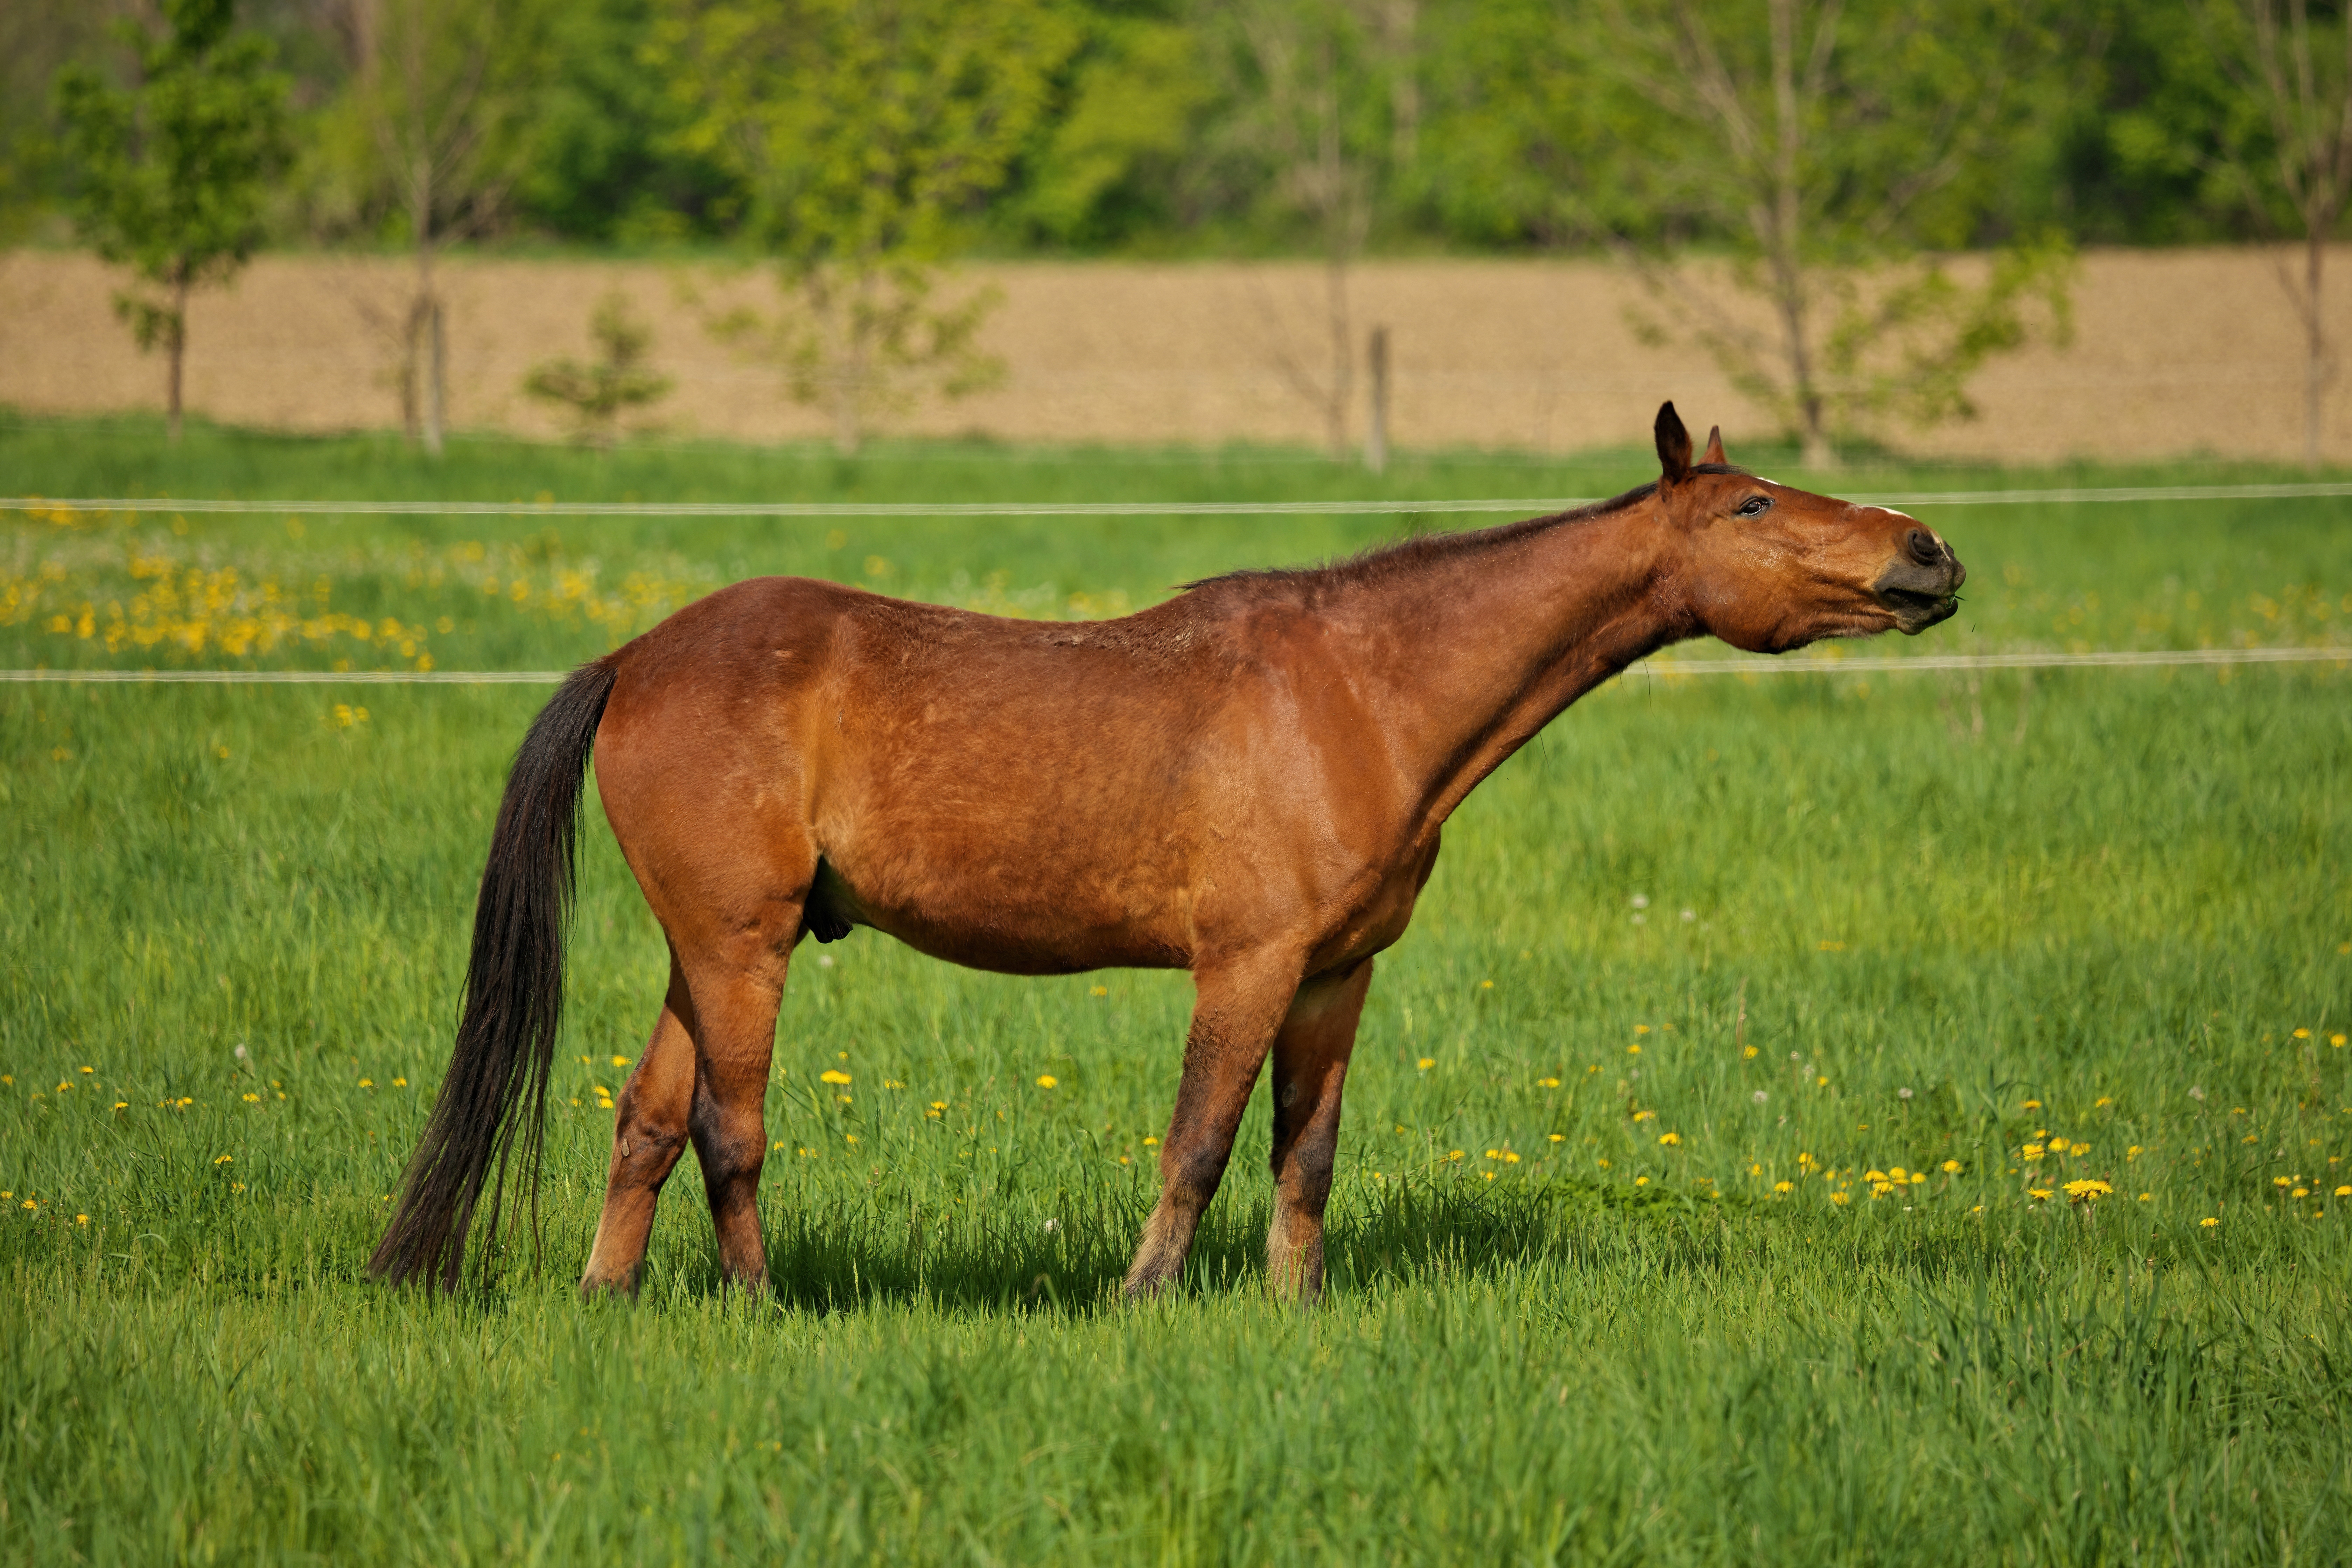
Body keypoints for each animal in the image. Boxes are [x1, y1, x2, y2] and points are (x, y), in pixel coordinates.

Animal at [371, 402, 1966, 1297]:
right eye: (1752, 503)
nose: (1928, 552)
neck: (1361, 689)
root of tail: (639, 654)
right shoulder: (1243, 966)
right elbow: (1198, 1141)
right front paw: (1143, 1298)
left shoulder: (1333, 977)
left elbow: (1303, 1156)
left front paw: (1292, 1312)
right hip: (739, 947)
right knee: (729, 1129)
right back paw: (761, 1309)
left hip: (702, 951)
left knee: (645, 1121)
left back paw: (607, 1301)